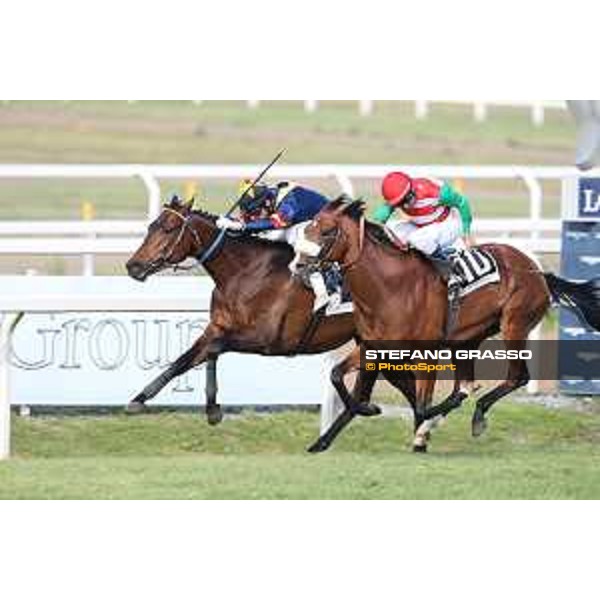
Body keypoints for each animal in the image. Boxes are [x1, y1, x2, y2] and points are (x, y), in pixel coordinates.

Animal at [125, 195, 426, 442]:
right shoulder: (218, 327)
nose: (133, 266)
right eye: (151, 226)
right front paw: (140, 399)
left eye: (168, 228)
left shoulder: (268, 340)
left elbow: (213, 350)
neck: (245, 272)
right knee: (408, 388)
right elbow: (185, 360)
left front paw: (212, 410)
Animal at [304, 199, 600, 452]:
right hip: (465, 342)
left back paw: (475, 413)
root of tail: (537, 271)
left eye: (328, 232)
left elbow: (423, 405)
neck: (389, 286)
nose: (300, 265)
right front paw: (361, 413)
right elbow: (336, 375)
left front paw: (425, 428)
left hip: (514, 324)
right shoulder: (374, 347)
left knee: (517, 376)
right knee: (467, 381)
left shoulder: (426, 353)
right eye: (307, 228)